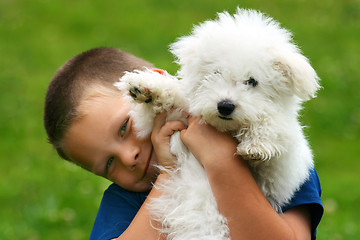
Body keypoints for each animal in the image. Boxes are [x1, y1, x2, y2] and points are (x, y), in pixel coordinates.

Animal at [115, 7, 320, 240]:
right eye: (215, 73)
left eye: (252, 81)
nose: (225, 106)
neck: (226, 128)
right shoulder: (171, 116)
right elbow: (171, 99)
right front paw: (147, 87)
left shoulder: (278, 175)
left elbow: (276, 124)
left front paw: (257, 142)